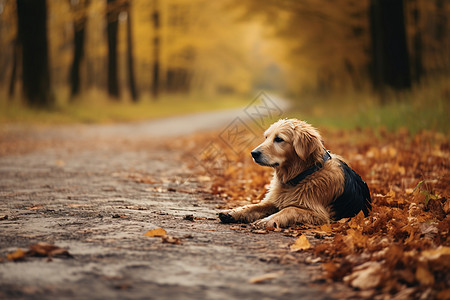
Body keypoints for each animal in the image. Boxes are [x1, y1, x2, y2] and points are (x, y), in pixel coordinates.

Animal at [218, 118, 370, 227]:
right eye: (266, 137)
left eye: (279, 139)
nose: (253, 153)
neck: (302, 175)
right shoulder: (274, 201)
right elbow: (254, 206)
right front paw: (233, 212)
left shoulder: (319, 214)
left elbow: (289, 209)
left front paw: (267, 220)